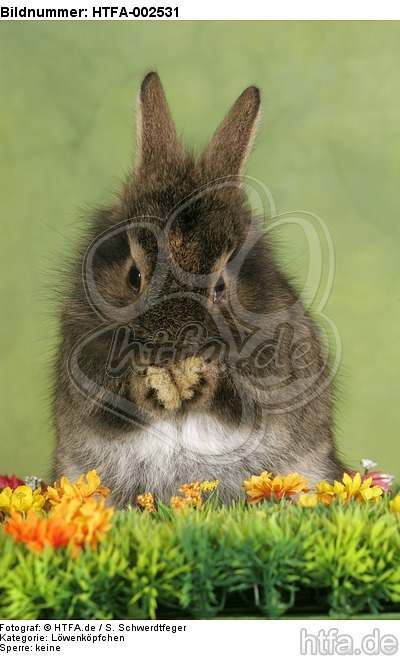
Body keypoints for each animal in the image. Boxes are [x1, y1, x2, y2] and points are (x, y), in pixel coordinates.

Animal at [52, 72, 345, 508]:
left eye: (221, 286)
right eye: (134, 277)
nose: (171, 348)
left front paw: (199, 377)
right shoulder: (82, 363)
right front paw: (153, 381)